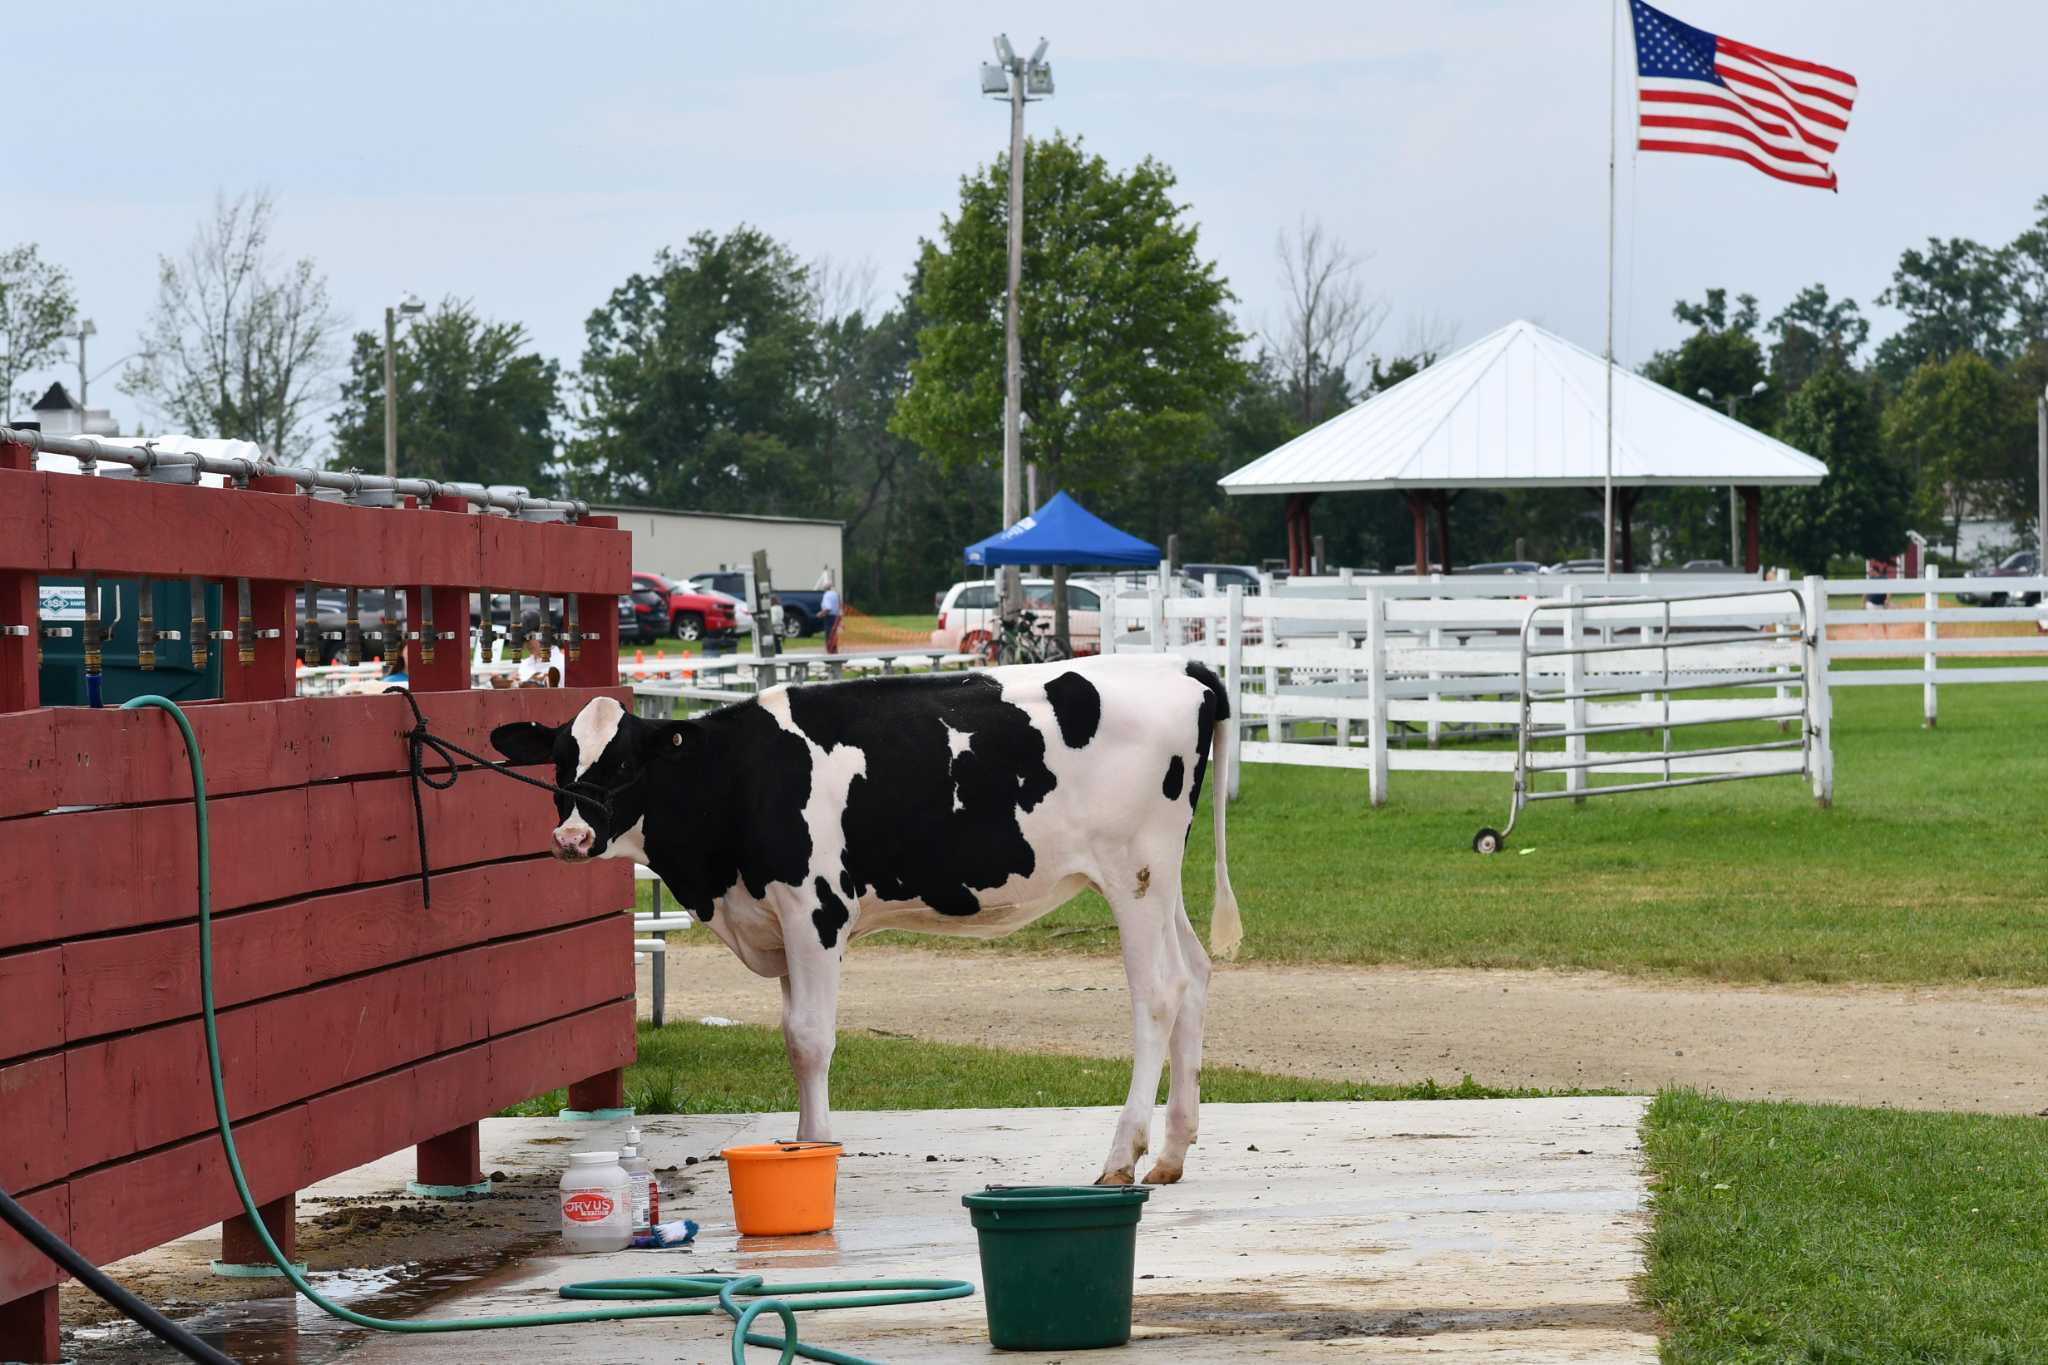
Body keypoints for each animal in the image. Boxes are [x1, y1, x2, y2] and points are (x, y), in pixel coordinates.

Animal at [487, 654, 1236, 1186]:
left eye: (623, 761)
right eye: (560, 760)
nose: (572, 836)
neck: (739, 778)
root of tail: (1182, 668)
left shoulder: (814, 908)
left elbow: (810, 1037)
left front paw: (817, 1146)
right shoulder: (775, 922)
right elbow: (792, 1038)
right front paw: (801, 1142)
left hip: (1134, 874)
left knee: (1159, 992)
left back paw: (1122, 1156)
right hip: (1162, 879)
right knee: (1197, 974)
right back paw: (1171, 1153)